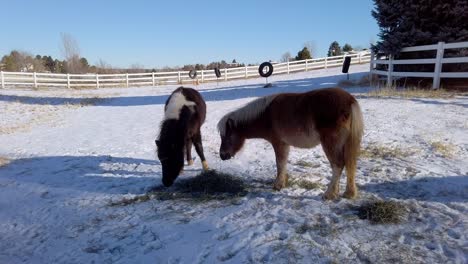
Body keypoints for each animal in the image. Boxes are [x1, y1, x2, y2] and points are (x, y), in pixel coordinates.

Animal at [218, 87, 364, 199]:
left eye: (227, 137)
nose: (222, 155)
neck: (266, 115)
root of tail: (349, 100)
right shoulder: (285, 145)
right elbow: (283, 164)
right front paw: (283, 182)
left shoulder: (278, 143)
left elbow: (280, 163)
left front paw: (278, 185)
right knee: (348, 165)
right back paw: (346, 193)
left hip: (331, 144)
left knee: (338, 165)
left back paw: (329, 194)